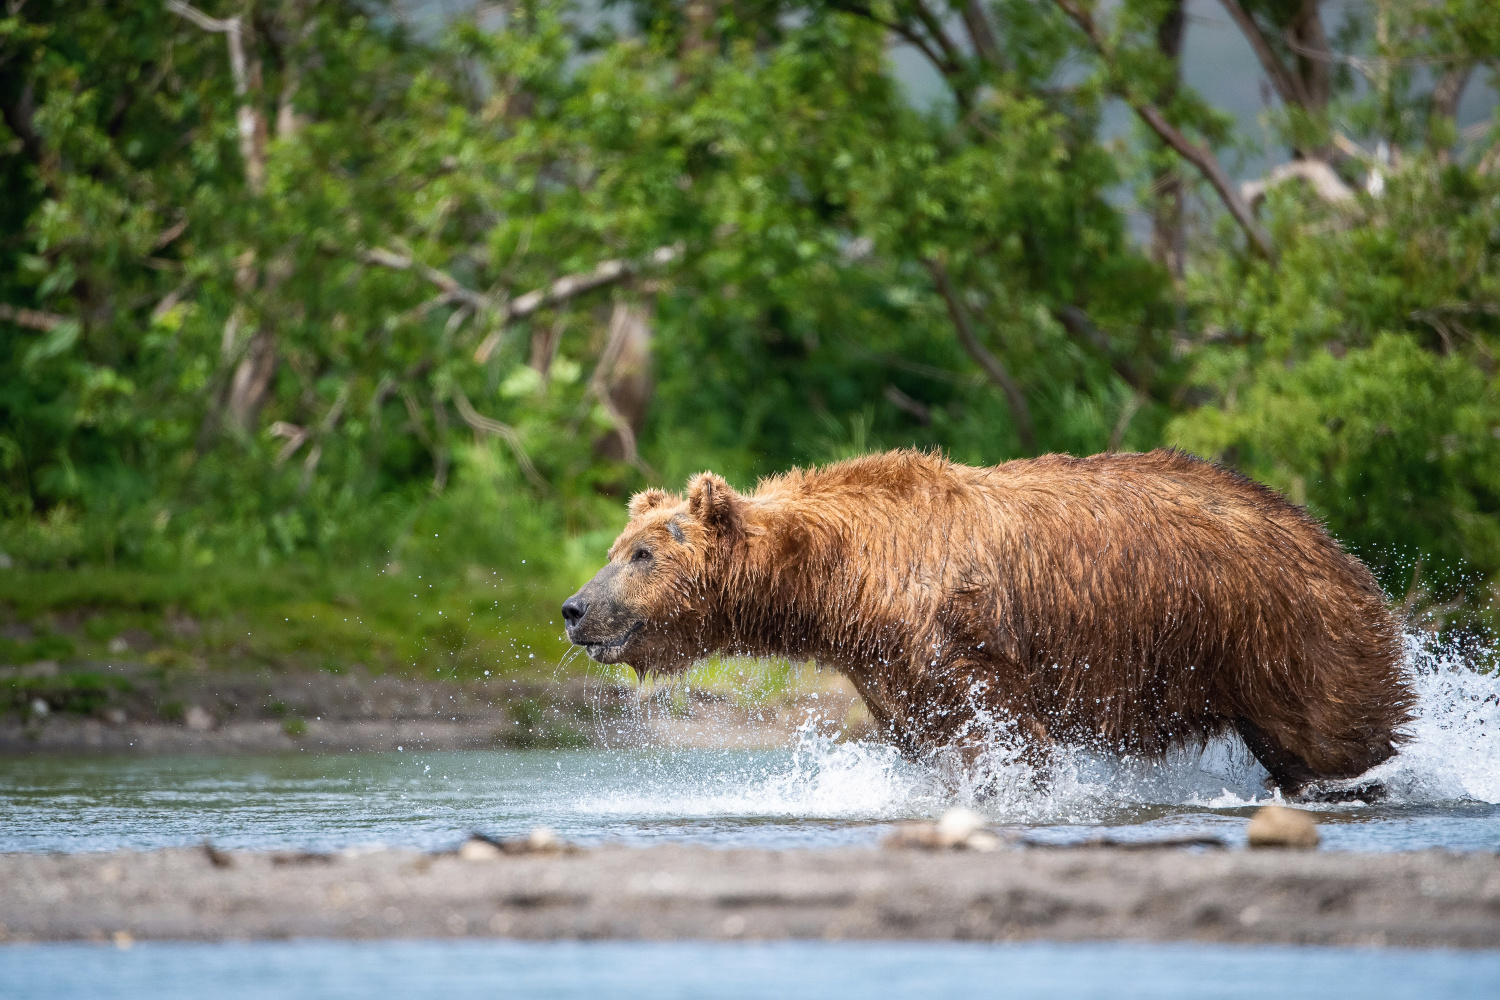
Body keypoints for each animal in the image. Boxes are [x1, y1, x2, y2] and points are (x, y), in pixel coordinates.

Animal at [558, 452, 1410, 791]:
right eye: (614, 549)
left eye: (641, 554)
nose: (573, 608)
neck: (837, 581)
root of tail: (1331, 541)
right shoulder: (887, 663)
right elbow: (929, 734)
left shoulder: (952, 635)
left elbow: (994, 730)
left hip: (1287, 632)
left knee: (1337, 731)